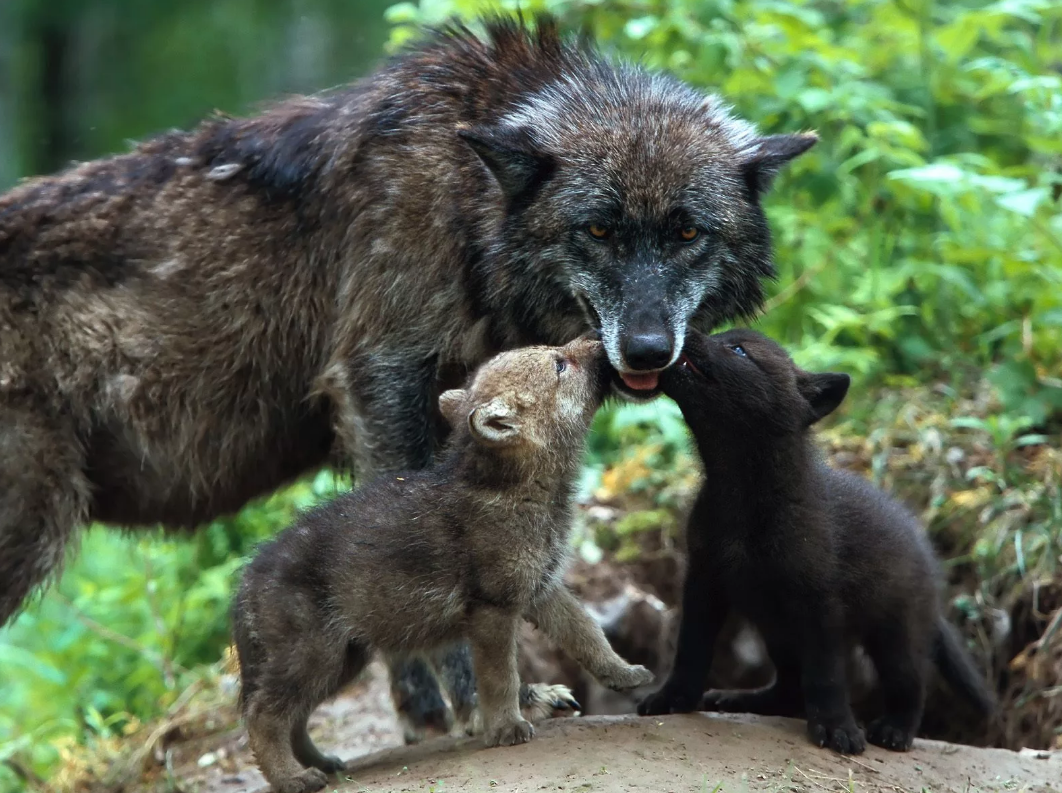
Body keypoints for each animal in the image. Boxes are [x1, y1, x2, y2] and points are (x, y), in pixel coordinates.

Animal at [0, 13, 811, 743]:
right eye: (599, 230)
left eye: (687, 232)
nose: (646, 351)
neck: (464, 202)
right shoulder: (381, 380)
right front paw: (483, 701)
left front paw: (425, 706)